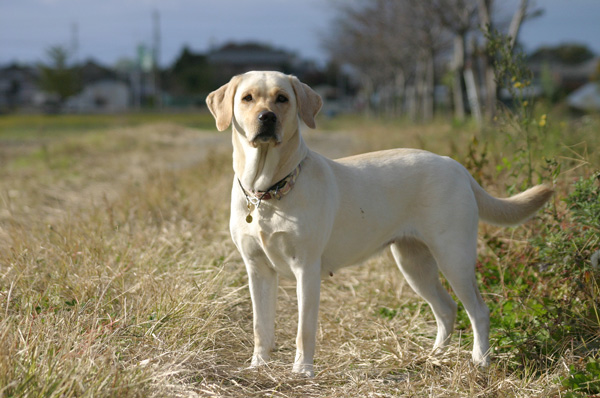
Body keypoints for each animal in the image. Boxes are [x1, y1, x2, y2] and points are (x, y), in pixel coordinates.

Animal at [206, 70, 552, 376]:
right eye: (247, 98)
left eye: (282, 99)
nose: (267, 117)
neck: (267, 192)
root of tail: (458, 167)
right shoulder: (257, 269)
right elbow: (260, 326)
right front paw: (258, 366)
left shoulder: (306, 268)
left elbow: (304, 330)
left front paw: (302, 372)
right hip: (414, 263)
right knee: (446, 309)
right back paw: (433, 357)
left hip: (455, 257)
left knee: (478, 310)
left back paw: (480, 360)